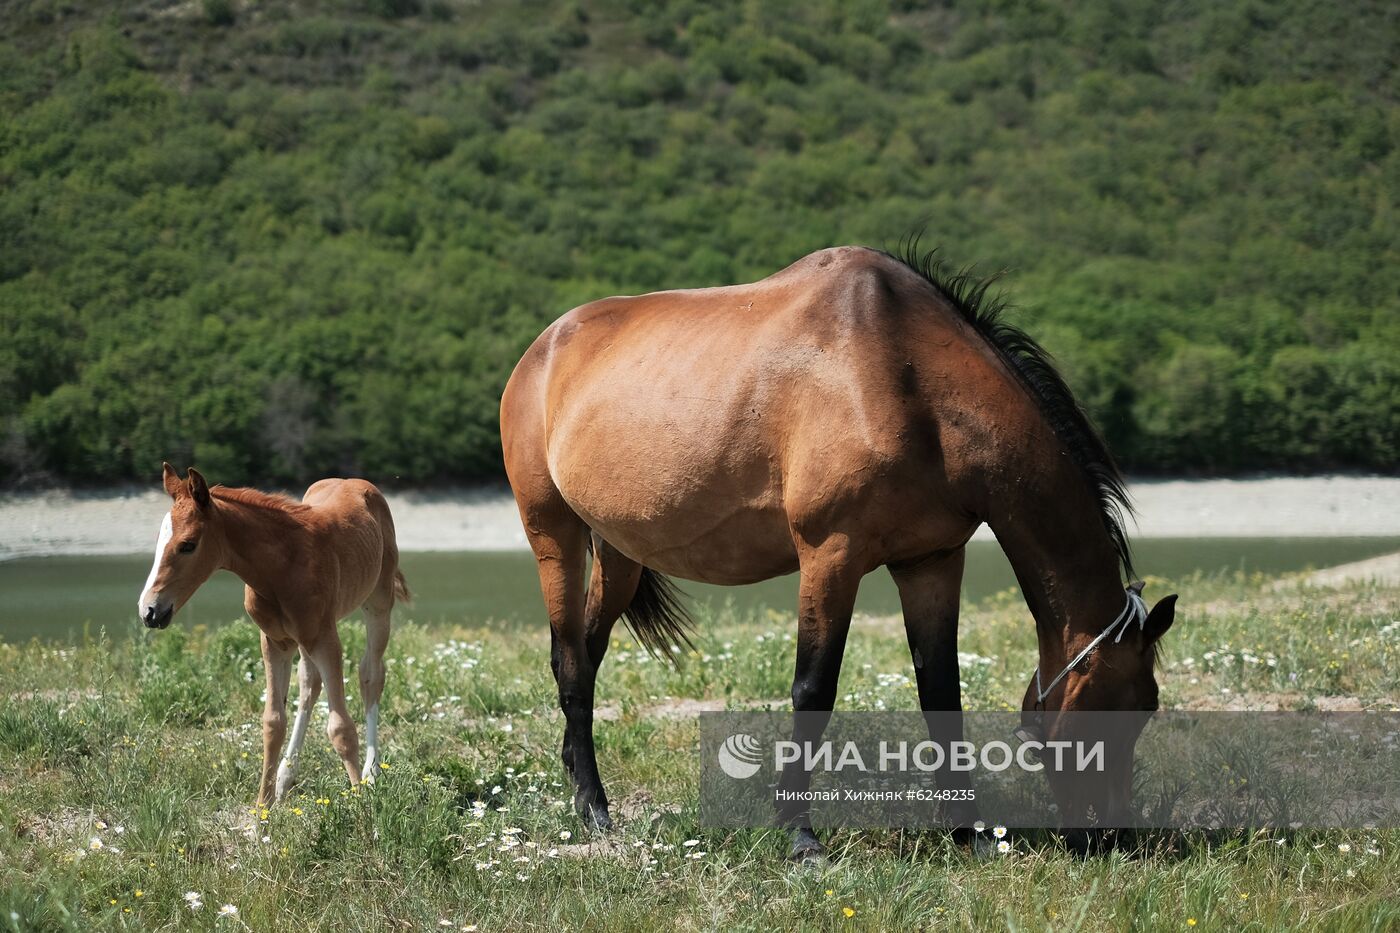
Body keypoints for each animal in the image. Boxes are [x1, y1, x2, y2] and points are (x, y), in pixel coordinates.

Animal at [136, 462, 408, 801]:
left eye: (188, 545)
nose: (149, 610)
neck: (281, 568)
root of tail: (355, 481)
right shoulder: (275, 641)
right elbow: (273, 723)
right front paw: (262, 806)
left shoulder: (326, 638)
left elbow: (341, 727)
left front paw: (360, 803)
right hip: (304, 639)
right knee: (309, 684)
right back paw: (285, 777)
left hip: (378, 604)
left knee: (370, 673)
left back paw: (371, 772)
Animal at [504, 243, 1181, 851]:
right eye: (1126, 706)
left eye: (1148, 709)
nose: (1114, 837)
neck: (908, 380)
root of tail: (545, 346)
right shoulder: (831, 555)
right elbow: (813, 690)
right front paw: (799, 836)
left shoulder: (931, 563)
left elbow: (942, 693)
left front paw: (968, 832)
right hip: (554, 534)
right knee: (570, 661)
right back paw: (594, 810)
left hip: (620, 551)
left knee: (587, 656)